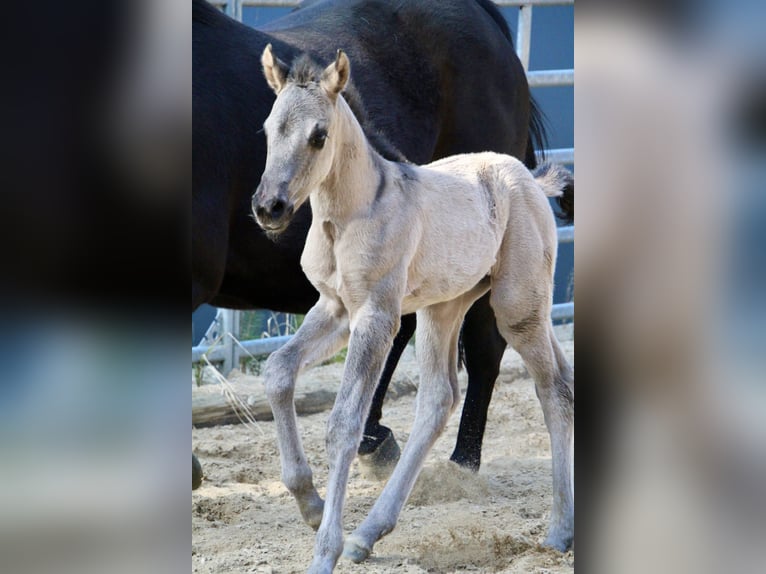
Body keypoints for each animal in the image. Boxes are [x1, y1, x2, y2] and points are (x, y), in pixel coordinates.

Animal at [192, 0, 554, 487]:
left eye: (319, 136)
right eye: (264, 132)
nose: (269, 208)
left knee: (483, 348)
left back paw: (460, 463)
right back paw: (376, 439)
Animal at [253, 46, 574, 572]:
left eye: (319, 136)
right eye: (267, 130)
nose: (269, 208)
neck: (351, 214)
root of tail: (527, 177)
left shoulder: (377, 317)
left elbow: (344, 424)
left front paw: (324, 551)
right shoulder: (335, 308)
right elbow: (278, 371)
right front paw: (310, 503)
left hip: (518, 305)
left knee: (554, 390)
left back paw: (560, 530)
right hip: (445, 307)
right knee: (439, 398)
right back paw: (368, 534)